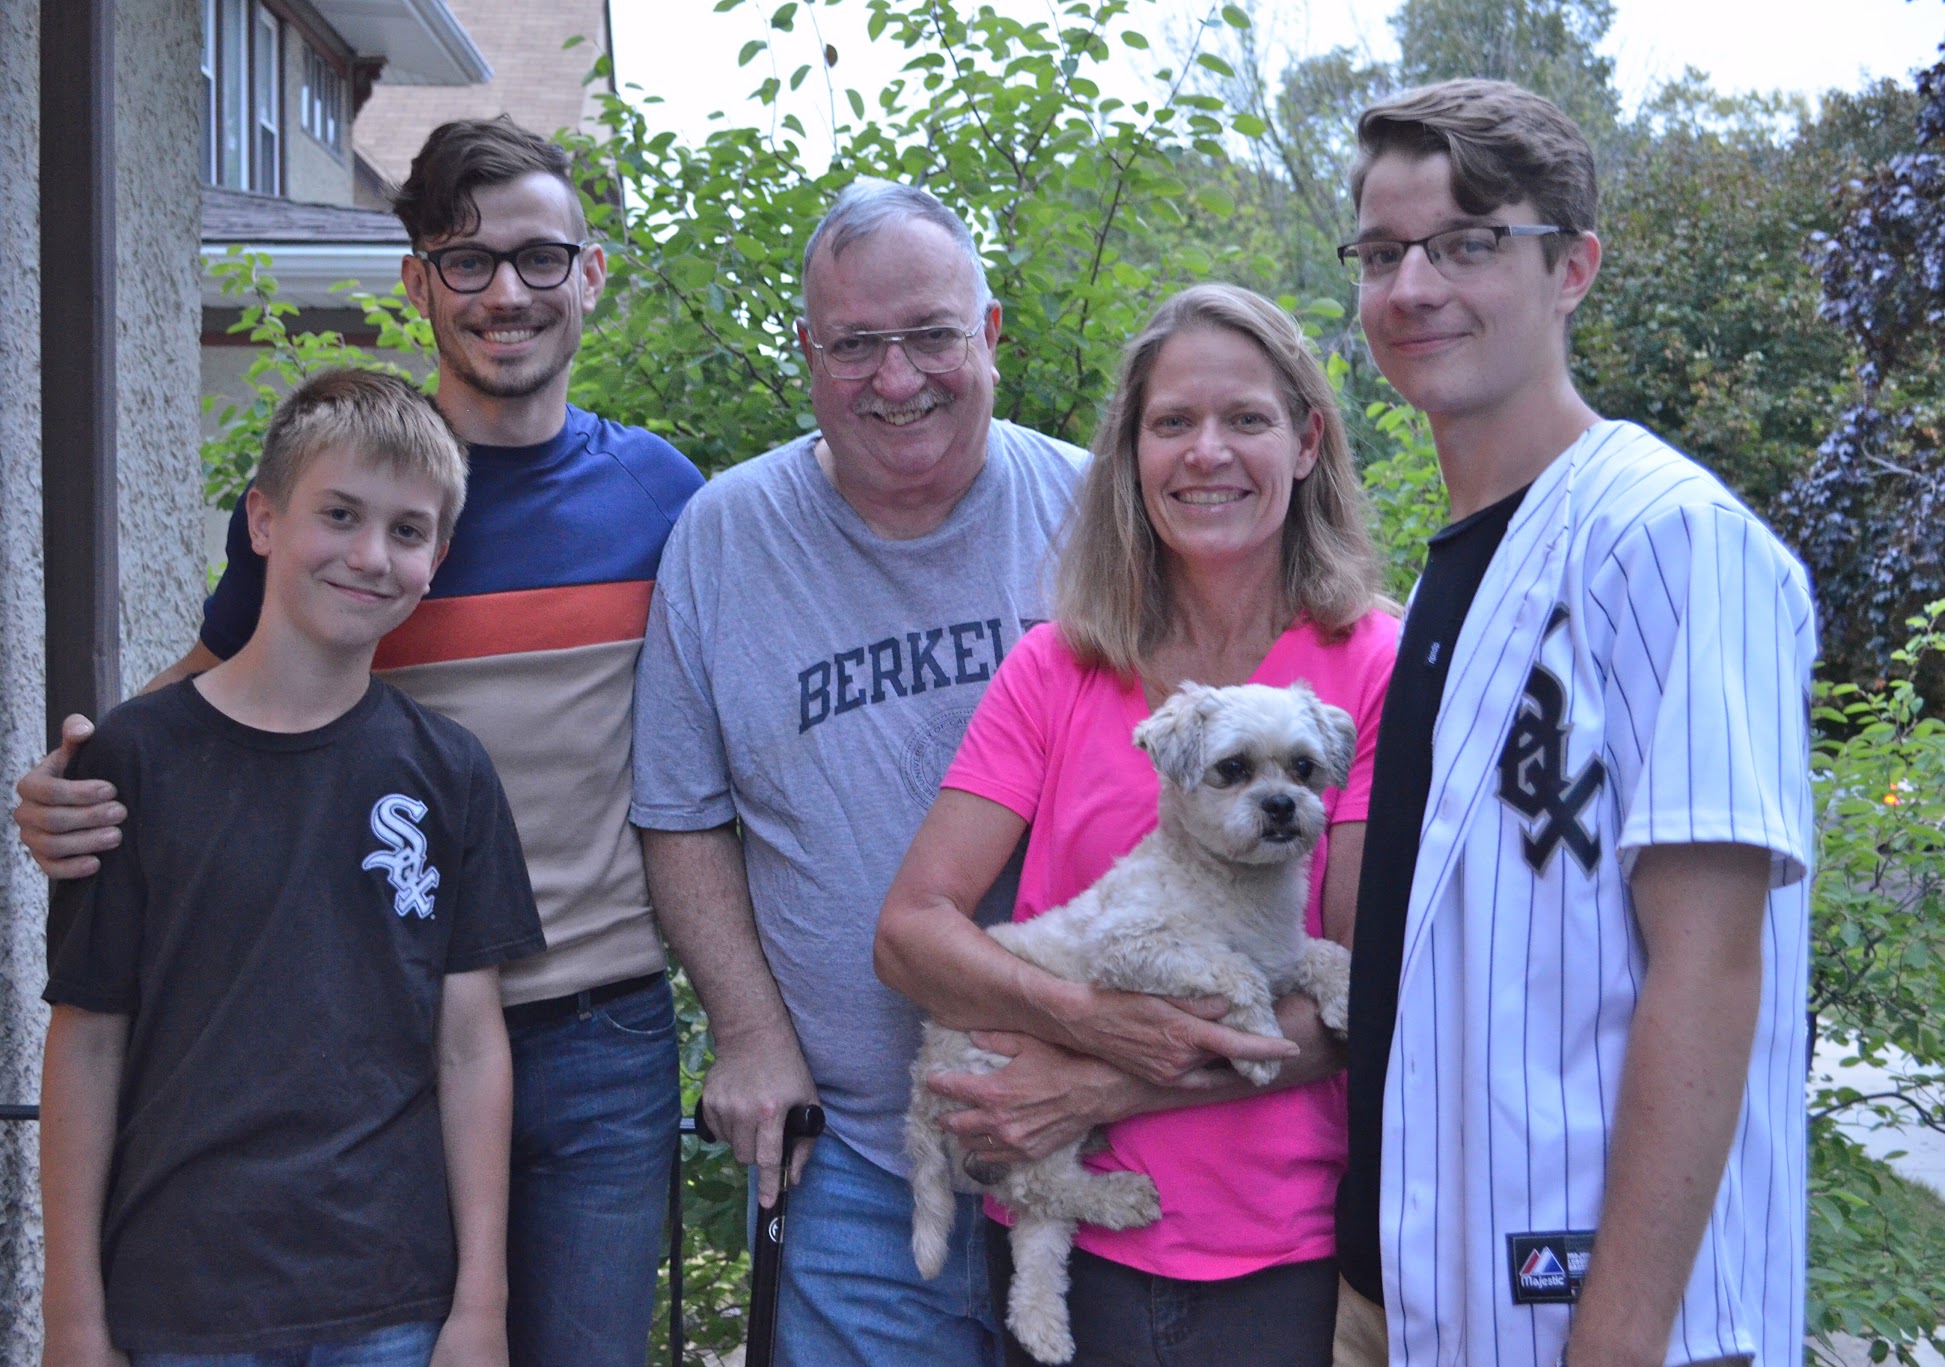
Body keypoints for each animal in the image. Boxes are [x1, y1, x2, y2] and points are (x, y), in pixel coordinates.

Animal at [906, 680, 1353, 1361]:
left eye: (1304, 767)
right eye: (1232, 769)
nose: (1281, 805)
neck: (1232, 885)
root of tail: (925, 1071)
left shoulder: (1284, 951)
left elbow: (1323, 953)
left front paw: (1347, 997)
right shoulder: (1133, 947)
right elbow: (1231, 968)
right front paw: (1255, 1040)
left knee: (1038, 1236)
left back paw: (1044, 1328)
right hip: (1021, 1094)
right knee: (1040, 1190)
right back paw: (1125, 1198)